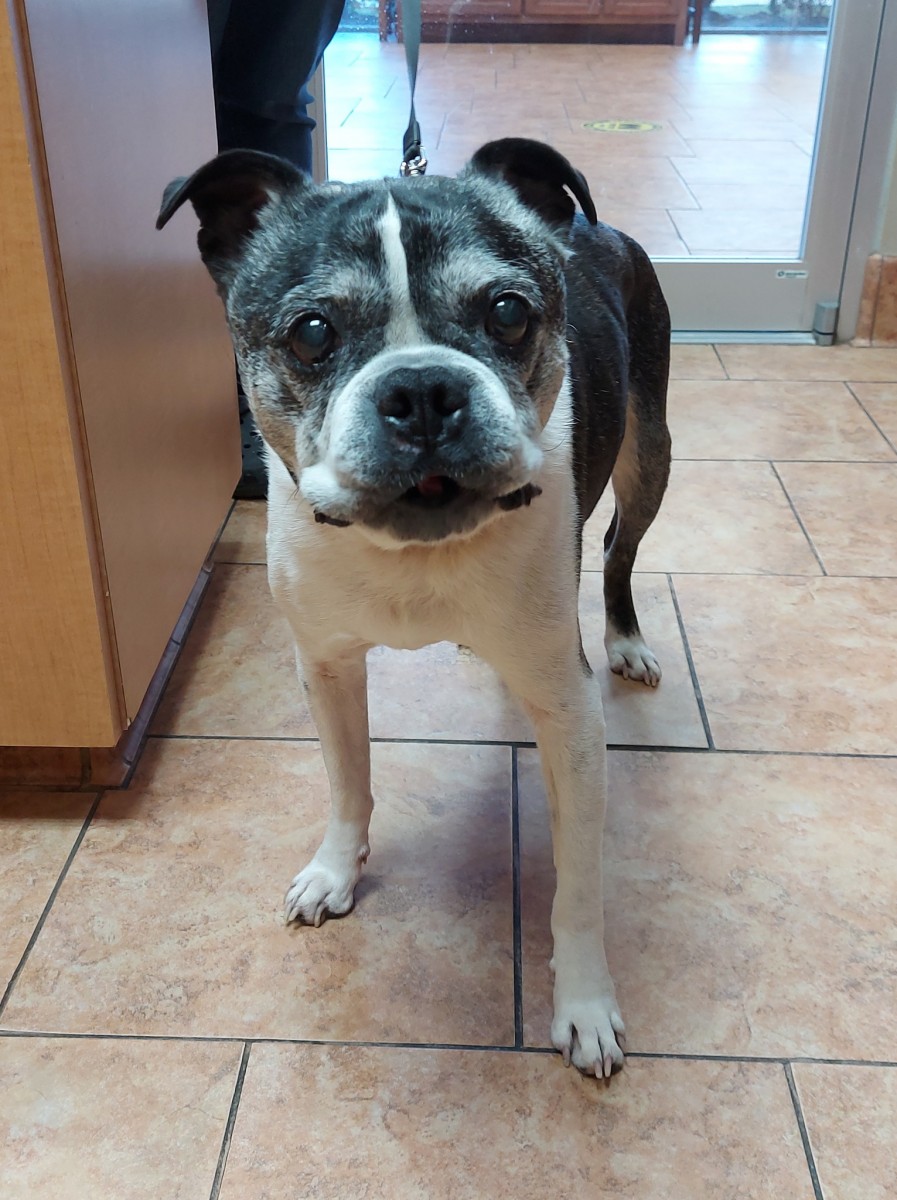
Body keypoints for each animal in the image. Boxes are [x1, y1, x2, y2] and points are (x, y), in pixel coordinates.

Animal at [157, 138, 671, 1077]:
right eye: (311, 333)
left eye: (508, 313)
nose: (424, 389)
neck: (413, 551)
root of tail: (596, 226)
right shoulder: (324, 668)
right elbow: (348, 782)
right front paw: (336, 871)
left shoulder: (568, 712)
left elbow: (577, 882)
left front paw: (584, 1002)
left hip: (649, 450)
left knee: (620, 546)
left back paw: (626, 640)